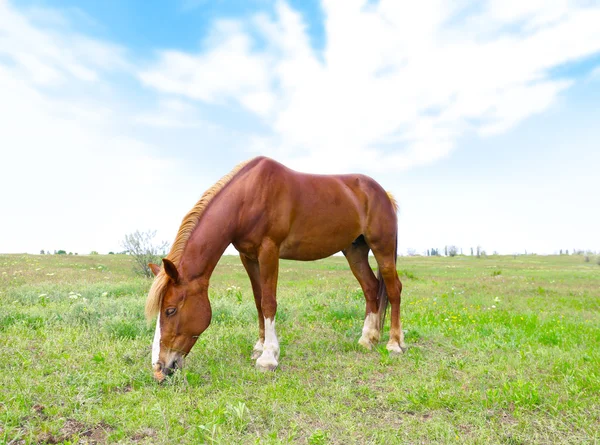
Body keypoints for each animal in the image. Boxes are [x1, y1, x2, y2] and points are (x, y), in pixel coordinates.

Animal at [147, 154, 406, 380]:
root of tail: (384, 193)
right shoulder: (248, 256)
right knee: (371, 288)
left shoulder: (269, 251)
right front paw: (260, 347)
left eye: (170, 310)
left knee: (394, 289)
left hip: (382, 248)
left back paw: (395, 344)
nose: (159, 369)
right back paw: (368, 339)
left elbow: (269, 302)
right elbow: (258, 300)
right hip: (355, 251)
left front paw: (268, 357)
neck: (247, 198)